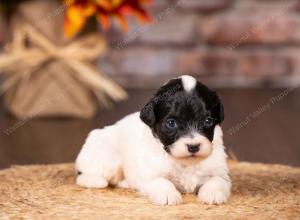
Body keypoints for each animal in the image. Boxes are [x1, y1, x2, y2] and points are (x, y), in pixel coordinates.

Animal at [76, 75, 231, 205]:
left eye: (208, 120)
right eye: (171, 123)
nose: (193, 146)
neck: (185, 163)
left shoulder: (221, 172)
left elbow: (217, 180)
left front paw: (213, 193)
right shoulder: (150, 176)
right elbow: (161, 181)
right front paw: (169, 195)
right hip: (108, 160)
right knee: (84, 176)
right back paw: (96, 181)